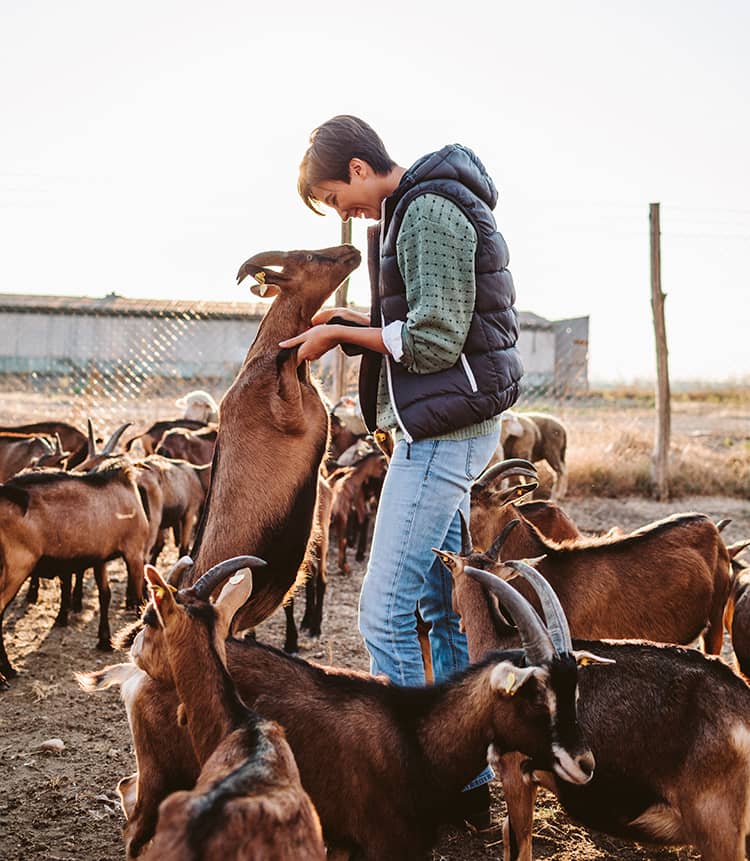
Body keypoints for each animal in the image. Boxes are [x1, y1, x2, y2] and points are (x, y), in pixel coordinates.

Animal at [89, 556, 604, 860]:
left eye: (574, 690)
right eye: (536, 693)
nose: (585, 763)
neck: (414, 736)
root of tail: (136, 674)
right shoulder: (380, 845)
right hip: (161, 771)